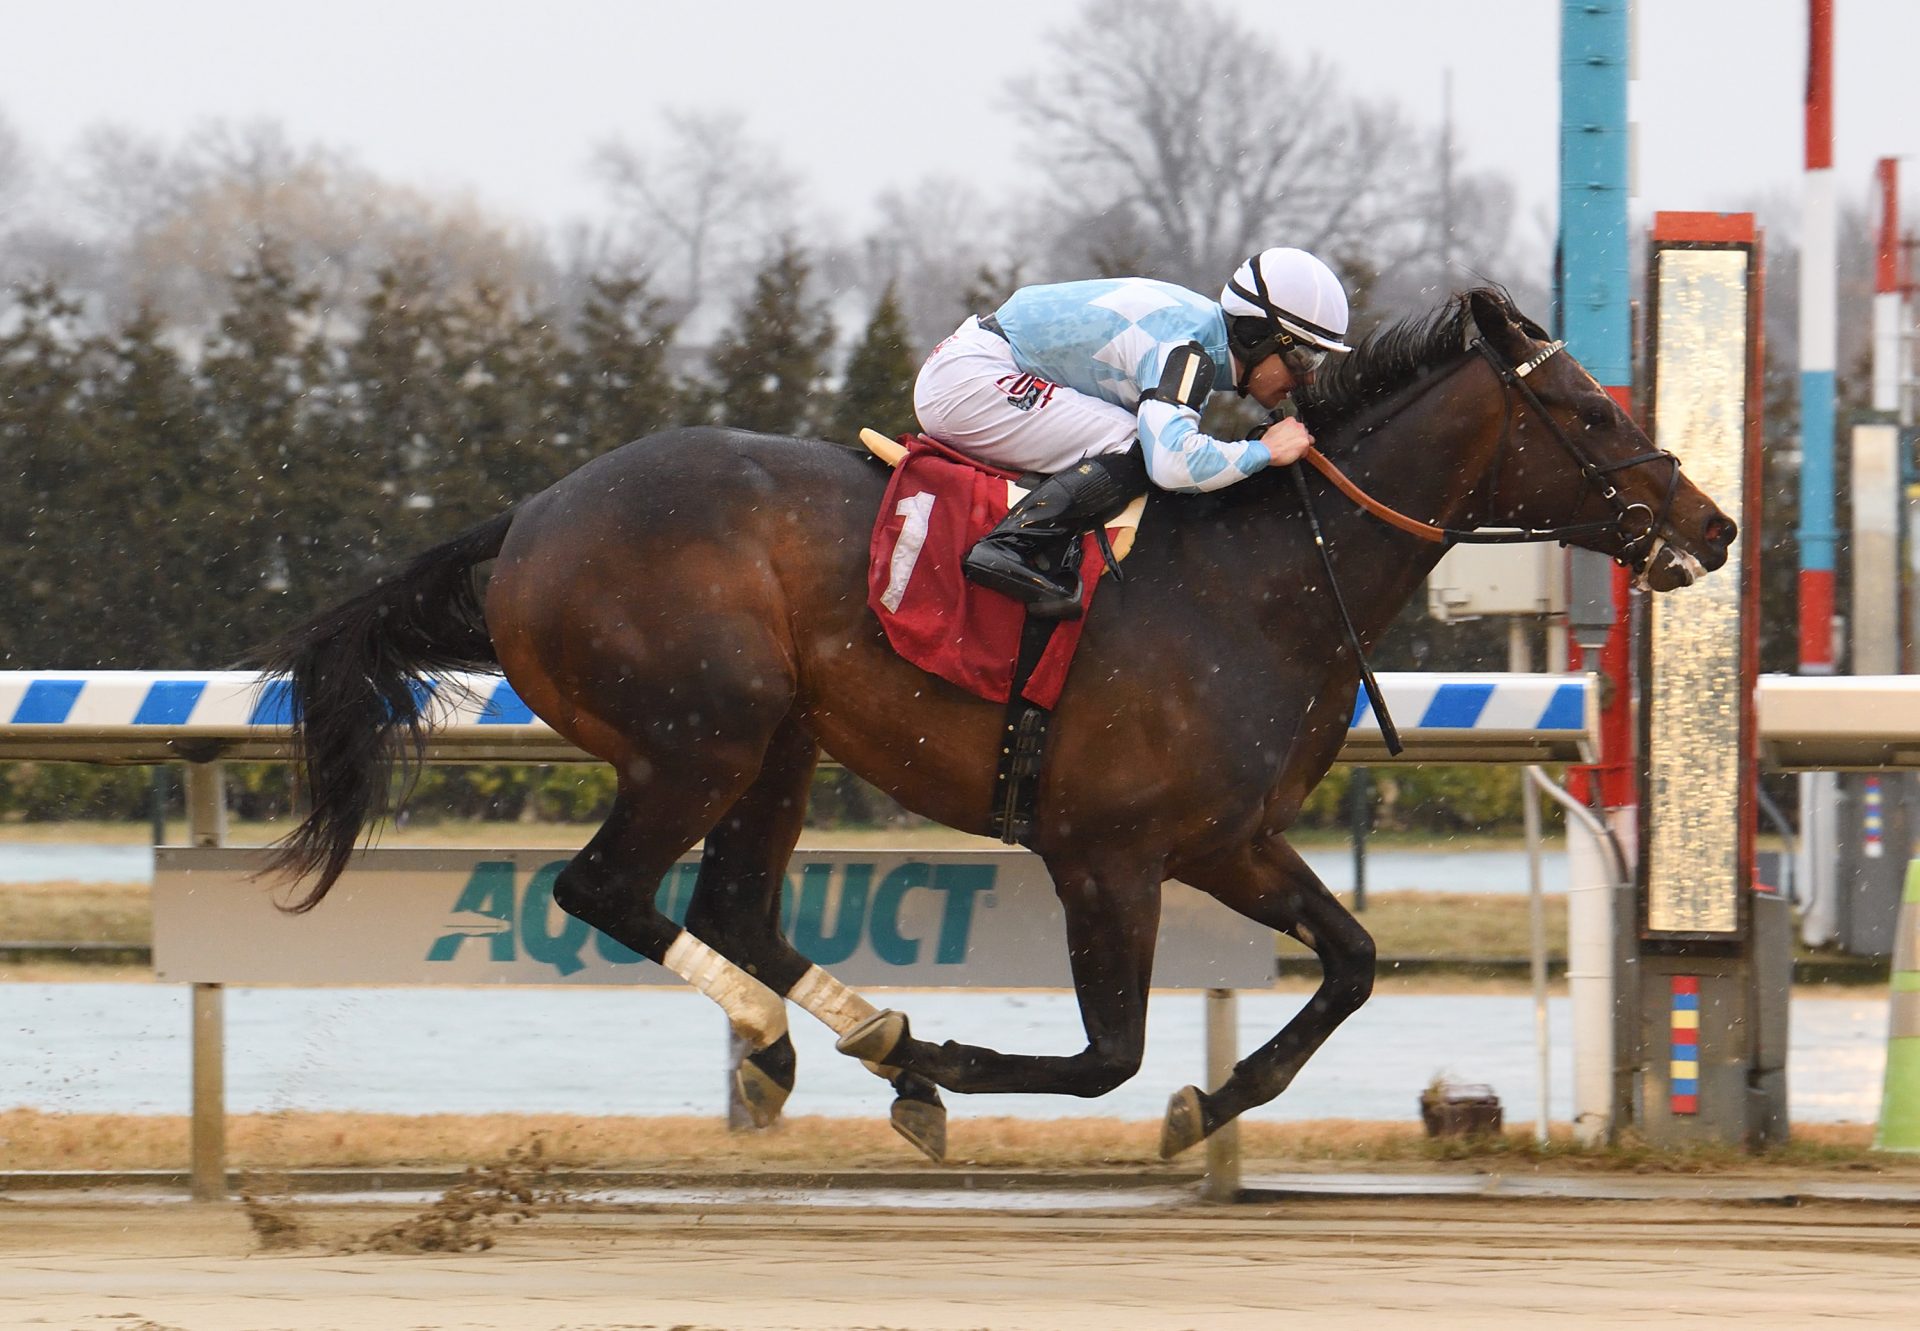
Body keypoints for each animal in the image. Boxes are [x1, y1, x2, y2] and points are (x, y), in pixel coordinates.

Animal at [259, 288, 1743, 1152]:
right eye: (1590, 404)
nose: (1715, 522)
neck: (1258, 575)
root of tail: (533, 517)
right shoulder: (1107, 851)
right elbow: (1108, 1054)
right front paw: (976, 1062)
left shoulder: (1229, 839)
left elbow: (1355, 961)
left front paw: (1211, 1102)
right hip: (699, 733)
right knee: (603, 887)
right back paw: (812, 1045)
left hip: (779, 738)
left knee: (731, 904)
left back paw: (855, 1039)